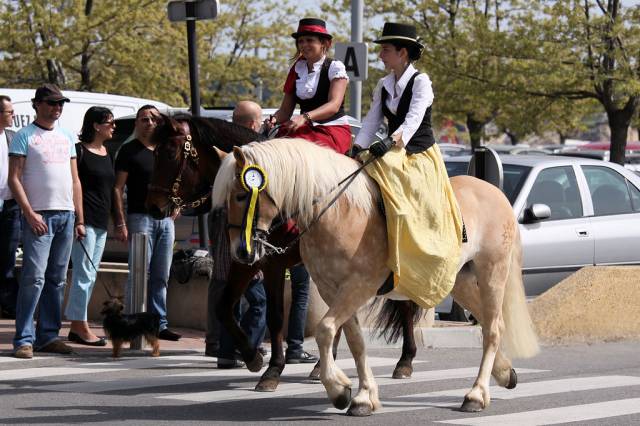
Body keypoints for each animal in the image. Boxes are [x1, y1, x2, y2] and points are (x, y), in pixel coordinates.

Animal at [146, 115, 424, 392]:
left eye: (170, 153)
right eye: (155, 152)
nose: (153, 207)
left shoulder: (272, 263)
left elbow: (276, 316)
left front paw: (272, 369)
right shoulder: (247, 259)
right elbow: (224, 307)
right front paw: (253, 357)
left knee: (404, 304)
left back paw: (405, 360)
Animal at [211, 139, 540, 416]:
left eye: (241, 195)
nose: (241, 251)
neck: (338, 211)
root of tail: (494, 191)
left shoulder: (358, 286)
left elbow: (326, 330)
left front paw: (338, 389)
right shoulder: (332, 289)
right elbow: (355, 341)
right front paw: (362, 396)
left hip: (492, 272)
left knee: (493, 328)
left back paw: (476, 394)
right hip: (456, 281)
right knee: (489, 321)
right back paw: (504, 373)